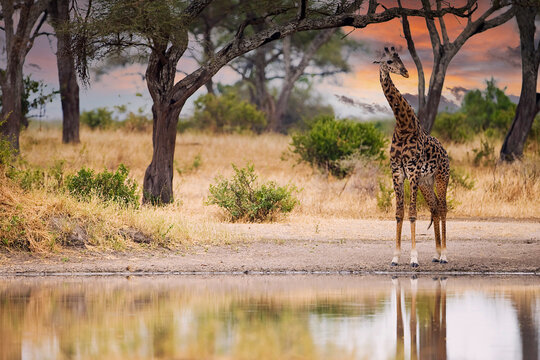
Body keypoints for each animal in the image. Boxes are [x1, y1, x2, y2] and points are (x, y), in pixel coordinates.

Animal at [376, 46, 452, 266]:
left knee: (443, 207)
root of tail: (445, 152)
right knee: (434, 208)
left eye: (401, 59)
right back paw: (436, 254)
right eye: (389, 61)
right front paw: (395, 257)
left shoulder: (413, 172)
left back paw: (444, 255)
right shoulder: (397, 172)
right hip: (427, 182)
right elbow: (399, 214)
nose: (405, 72)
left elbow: (412, 214)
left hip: (442, 177)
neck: (403, 126)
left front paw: (414, 258)